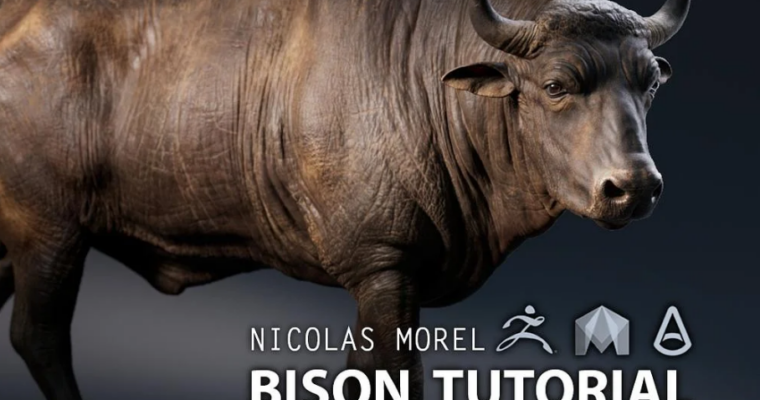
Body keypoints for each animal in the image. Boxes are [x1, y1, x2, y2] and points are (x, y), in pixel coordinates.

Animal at [0, 0, 689, 398]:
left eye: (649, 83)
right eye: (555, 85)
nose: (633, 186)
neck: (426, 80)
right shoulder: (383, 265)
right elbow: (391, 371)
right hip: (50, 234)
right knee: (39, 336)